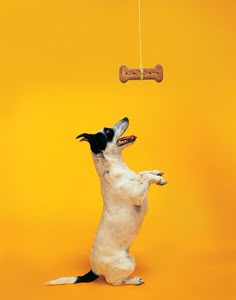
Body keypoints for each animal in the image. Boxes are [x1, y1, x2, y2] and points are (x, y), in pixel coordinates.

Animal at [45, 116, 167, 286]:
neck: (115, 165)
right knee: (115, 282)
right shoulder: (137, 195)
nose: (126, 117)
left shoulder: (136, 177)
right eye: (108, 131)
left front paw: (156, 172)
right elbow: (145, 178)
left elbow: (142, 173)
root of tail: (94, 270)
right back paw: (134, 280)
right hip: (128, 262)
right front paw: (158, 179)